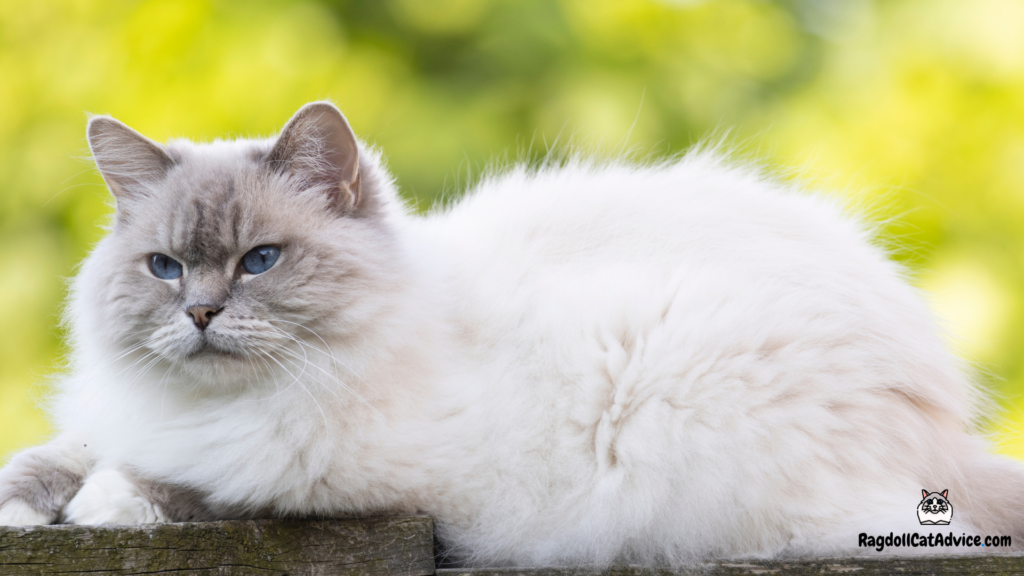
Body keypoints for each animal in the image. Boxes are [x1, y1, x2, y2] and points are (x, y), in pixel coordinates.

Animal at [2, 99, 1024, 565]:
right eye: (164, 269)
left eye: (260, 260)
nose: (202, 314)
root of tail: (954, 440)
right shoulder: (127, 414)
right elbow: (58, 455)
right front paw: (28, 505)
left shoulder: (356, 474)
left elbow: (205, 484)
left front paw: (104, 505)